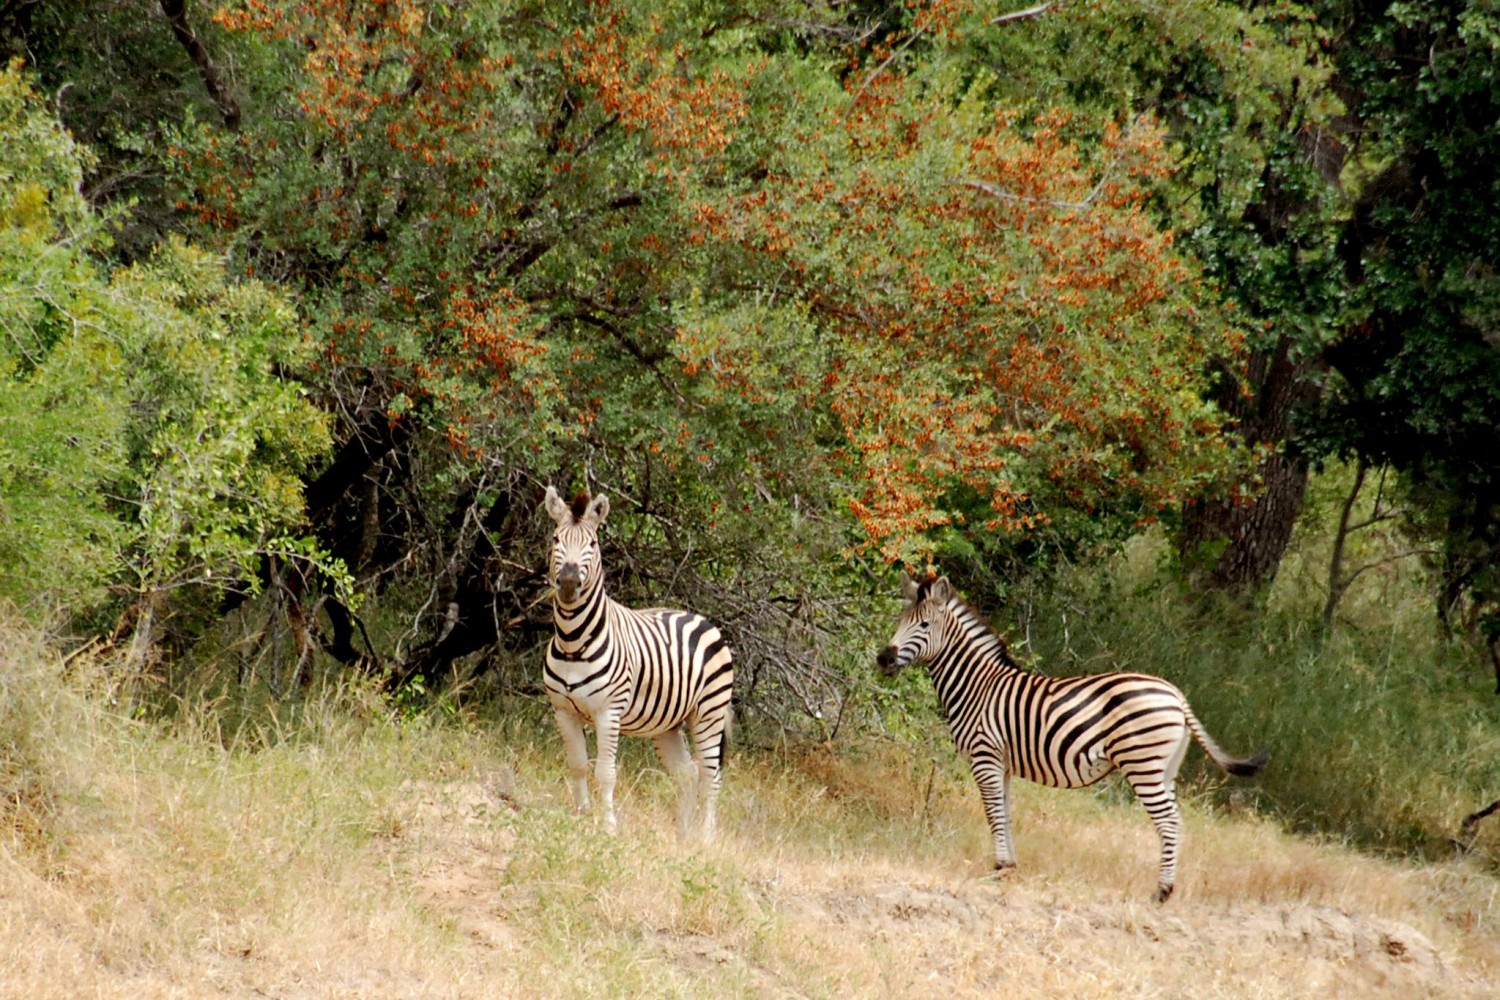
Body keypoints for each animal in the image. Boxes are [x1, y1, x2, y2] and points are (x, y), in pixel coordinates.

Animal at [541, 485, 735, 839]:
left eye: (592, 544)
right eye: (556, 539)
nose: (569, 583)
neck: (573, 641)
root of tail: (701, 619)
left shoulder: (609, 711)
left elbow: (605, 771)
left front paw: (607, 826)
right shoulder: (562, 710)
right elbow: (578, 764)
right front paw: (580, 815)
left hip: (709, 713)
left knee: (710, 777)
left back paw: (703, 839)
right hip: (669, 724)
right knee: (686, 773)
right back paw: (682, 836)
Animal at [877, 571, 1267, 902]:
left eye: (924, 625)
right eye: (899, 622)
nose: (884, 658)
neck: (979, 686)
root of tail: (1176, 695)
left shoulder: (984, 755)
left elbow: (992, 812)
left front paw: (999, 868)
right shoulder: (1002, 763)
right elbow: (1005, 811)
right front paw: (1009, 867)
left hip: (1141, 764)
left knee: (1169, 823)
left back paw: (1162, 892)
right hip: (1164, 768)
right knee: (1176, 820)